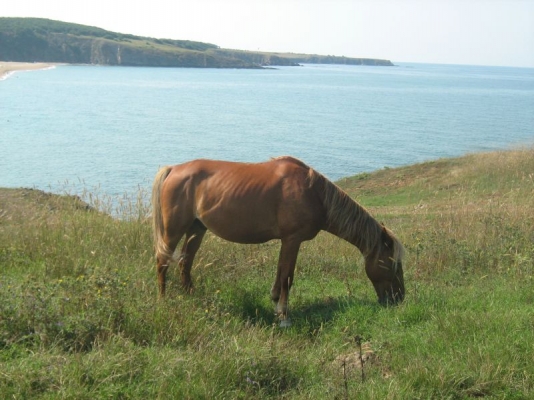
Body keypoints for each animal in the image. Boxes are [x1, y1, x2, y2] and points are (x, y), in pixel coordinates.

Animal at [152, 156, 406, 324]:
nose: (399, 298)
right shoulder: (292, 240)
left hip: (197, 229)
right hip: (174, 230)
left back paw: (191, 297)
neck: (314, 193)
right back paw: (162, 300)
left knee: (185, 262)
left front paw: (275, 303)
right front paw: (284, 315)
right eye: (392, 263)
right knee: (163, 261)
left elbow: (280, 273)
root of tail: (173, 169)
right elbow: (287, 277)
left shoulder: (288, 241)